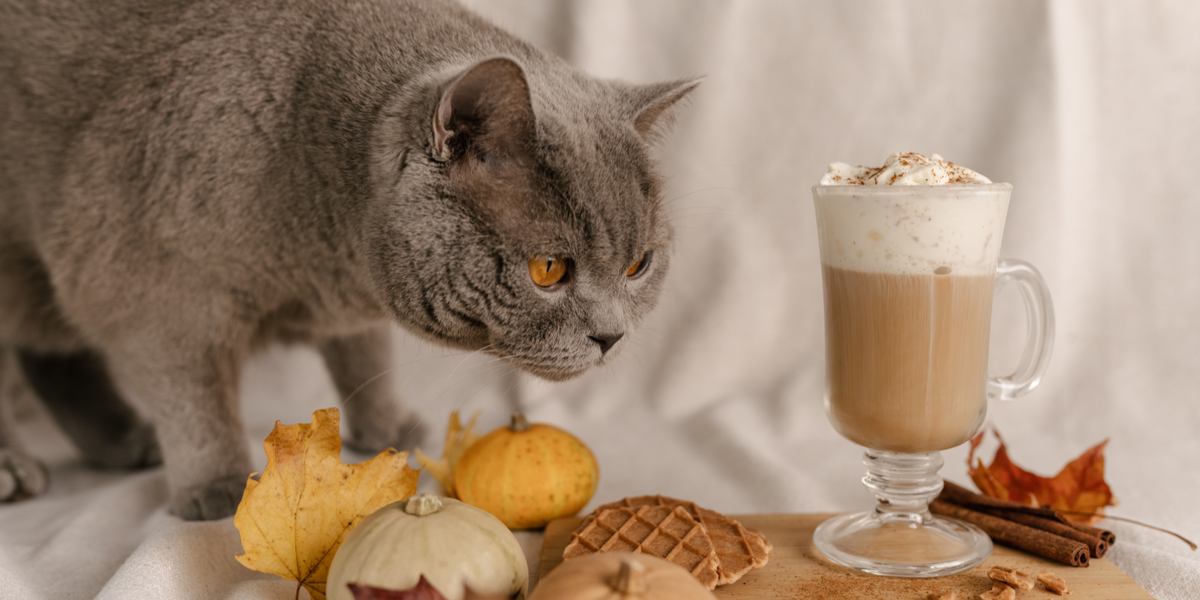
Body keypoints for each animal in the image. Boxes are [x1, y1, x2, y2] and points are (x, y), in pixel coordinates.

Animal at [0, 0, 696, 518]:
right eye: (548, 270)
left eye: (638, 265)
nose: (611, 337)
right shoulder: (150, 286)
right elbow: (193, 393)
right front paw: (215, 487)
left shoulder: (350, 300)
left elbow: (365, 353)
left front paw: (387, 427)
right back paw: (20, 468)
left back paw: (124, 441)